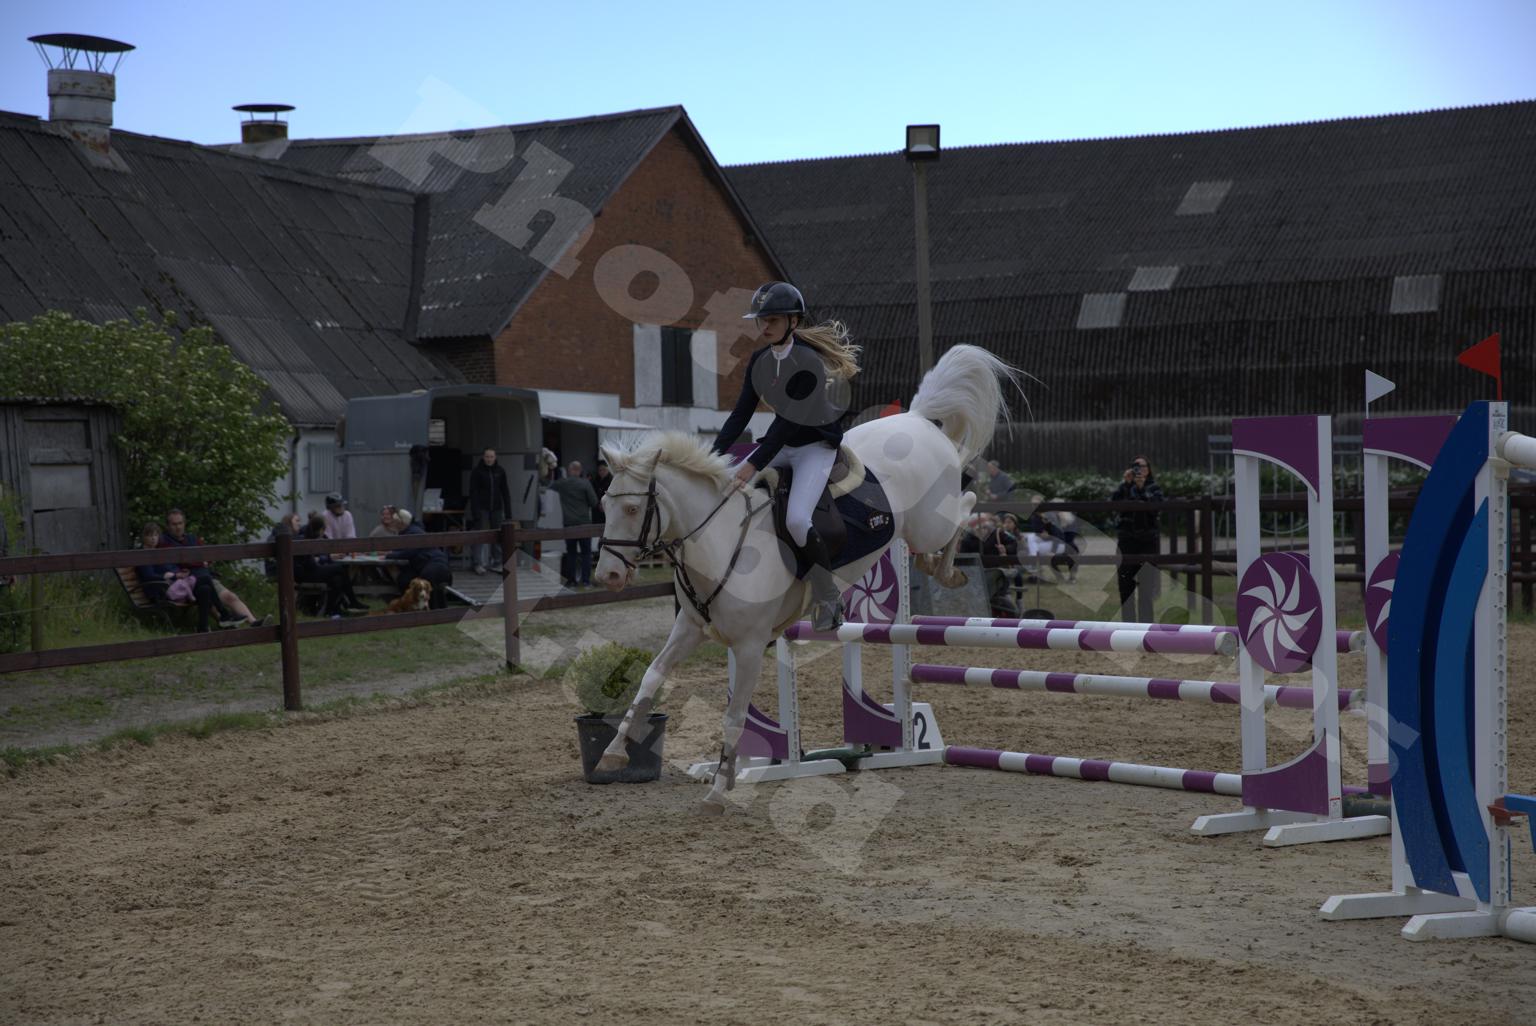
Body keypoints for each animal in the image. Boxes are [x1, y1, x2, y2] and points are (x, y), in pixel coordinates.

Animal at [592, 344, 1022, 812]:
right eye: (604, 502)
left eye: (633, 509)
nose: (607, 574)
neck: (719, 536)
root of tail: (917, 417)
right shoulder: (689, 628)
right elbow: (651, 678)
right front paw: (612, 754)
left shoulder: (748, 646)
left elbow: (734, 716)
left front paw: (719, 791)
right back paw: (932, 566)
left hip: (932, 521)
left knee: (967, 501)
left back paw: (946, 569)